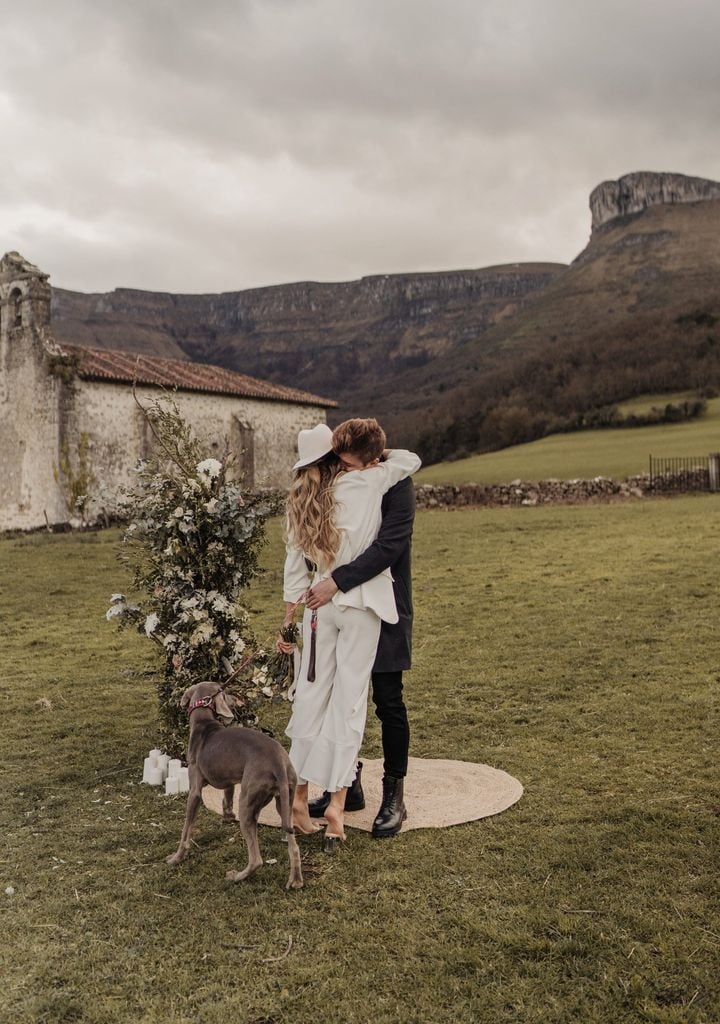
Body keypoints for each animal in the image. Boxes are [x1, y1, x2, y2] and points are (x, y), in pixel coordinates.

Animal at [165, 679, 303, 888]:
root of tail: (278, 762)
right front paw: (228, 816)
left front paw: (176, 857)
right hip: (286, 799)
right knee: (293, 846)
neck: (204, 722)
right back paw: (295, 881)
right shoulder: (228, 778)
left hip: (247, 802)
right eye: (225, 692)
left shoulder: (195, 791)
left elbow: (186, 830)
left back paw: (235, 876)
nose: (236, 700)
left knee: (256, 859)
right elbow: (227, 796)